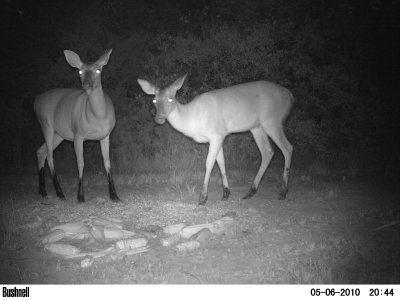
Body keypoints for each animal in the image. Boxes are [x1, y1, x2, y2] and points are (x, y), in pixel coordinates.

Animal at [33, 49, 121, 202]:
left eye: (98, 70)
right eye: (80, 71)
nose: (86, 85)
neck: (98, 118)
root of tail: (35, 102)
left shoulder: (105, 135)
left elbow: (107, 162)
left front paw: (114, 195)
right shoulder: (78, 134)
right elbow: (81, 163)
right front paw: (80, 196)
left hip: (59, 133)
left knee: (41, 151)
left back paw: (43, 191)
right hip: (45, 124)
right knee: (50, 155)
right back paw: (60, 193)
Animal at [138, 75, 294, 206]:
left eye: (170, 98)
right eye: (154, 100)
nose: (159, 119)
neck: (192, 118)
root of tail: (290, 95)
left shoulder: (216, 134)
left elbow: (209, 163)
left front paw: (203, 197)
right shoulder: (218, 136)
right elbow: (221, 162)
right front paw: (226, 193)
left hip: (272, 121)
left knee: (287, 148)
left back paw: (283, 192)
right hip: (256, 127)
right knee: (268, 152)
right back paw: (251, 191)